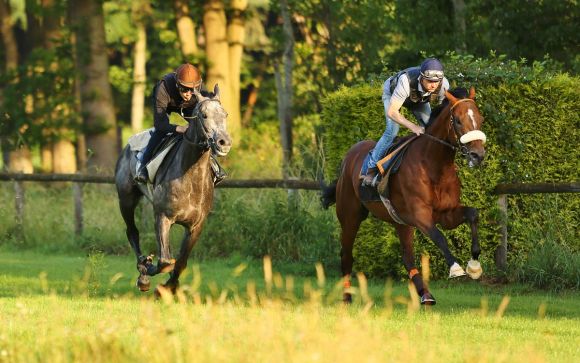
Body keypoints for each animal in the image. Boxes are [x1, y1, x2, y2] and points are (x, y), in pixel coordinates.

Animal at [114, 86, 232, 296]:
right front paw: (148, 266)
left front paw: (168, 287)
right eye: (204, 115)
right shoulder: (163, 217)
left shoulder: (196, 226)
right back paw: (143, 273)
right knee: (132, 232)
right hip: (126, 200)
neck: (190, 176)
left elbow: (180, 262)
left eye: (225, 114)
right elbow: (165, 261)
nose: (223, 142)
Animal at [322, 87, 484, 304]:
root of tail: (348, 156)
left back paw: (425, 295)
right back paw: (347, 297)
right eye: (457, 120)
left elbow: (472, 214)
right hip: (350, 216)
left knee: (407, 258)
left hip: (400, 221)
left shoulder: (446, 213)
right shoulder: (421, 215)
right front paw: (456, 268)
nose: (478, 155)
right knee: (346, 254)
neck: (434, 165)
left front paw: (474, 265)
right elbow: (439, 237)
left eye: (480, 118)